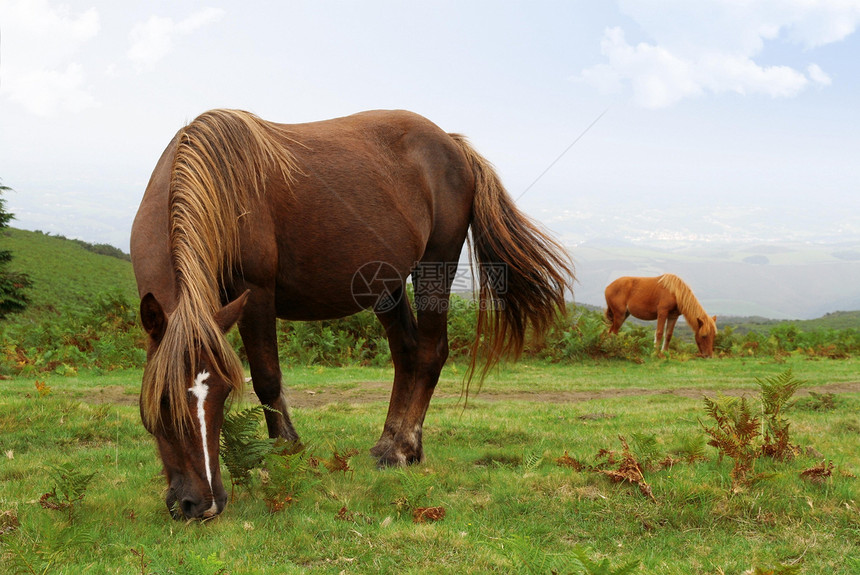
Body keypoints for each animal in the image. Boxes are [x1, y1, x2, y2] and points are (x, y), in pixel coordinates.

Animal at [131, 109, 576, 520]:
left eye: (224, 394)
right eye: (163, 401)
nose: (202, 505)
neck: (218, 184)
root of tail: (453, 144)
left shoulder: (255, 293)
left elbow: (267, 377)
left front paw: (285, 452)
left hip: (436, 264)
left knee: (430, 353)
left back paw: (402, 449)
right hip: (386, 285)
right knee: (406, 354)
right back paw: (389, 443)